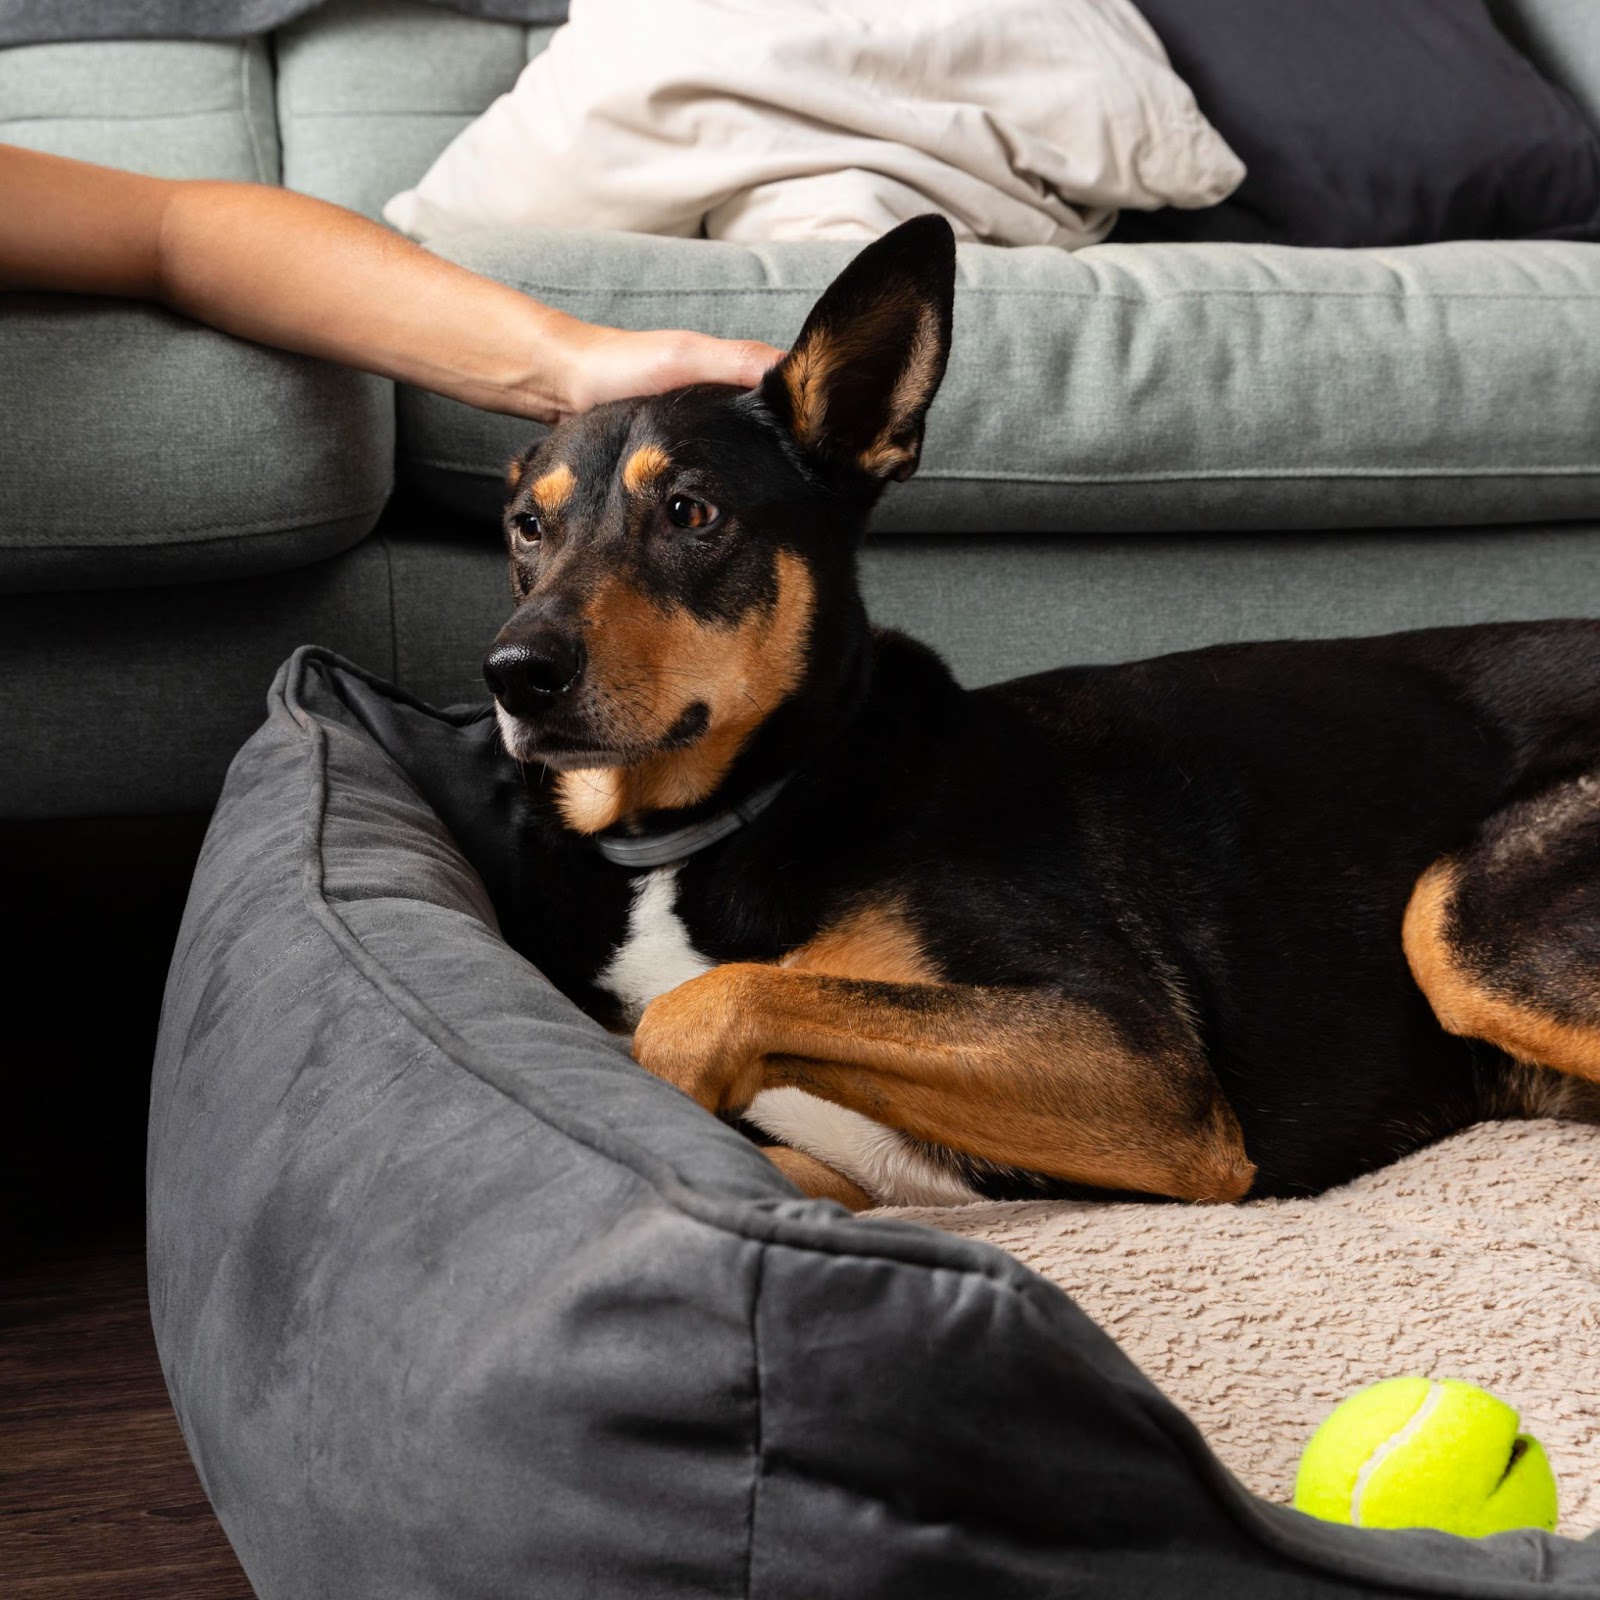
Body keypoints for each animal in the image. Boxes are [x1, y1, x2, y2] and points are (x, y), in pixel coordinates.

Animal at [480, 216, 1600, 1209]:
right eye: (527, 527)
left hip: (1460, 920)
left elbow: (709, 1002)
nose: (513, 673)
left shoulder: (1143, 1068)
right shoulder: (846, 1172)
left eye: (690, 512)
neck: (726, 813)